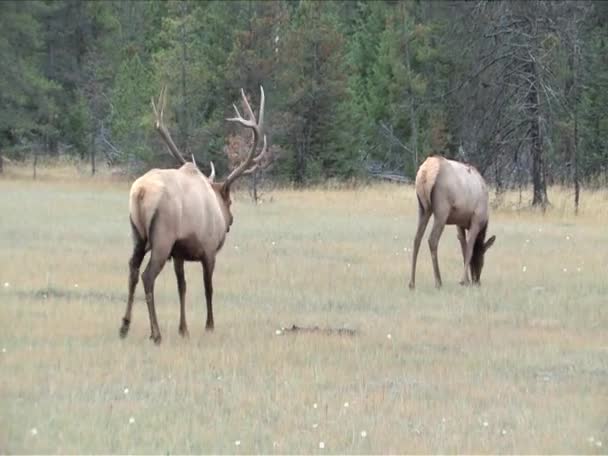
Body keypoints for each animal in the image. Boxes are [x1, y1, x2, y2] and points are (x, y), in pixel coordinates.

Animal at [120, 85, 268, 344]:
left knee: (133, 269)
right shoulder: (208, 250)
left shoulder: (179, 252)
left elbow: (182, 286)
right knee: (148, 276)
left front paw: (184, 328)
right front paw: (209, 325)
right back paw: (155, 333)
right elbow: (208, 288)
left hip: (137, 234)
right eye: (229, 201)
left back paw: (125, 326)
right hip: (162, 238)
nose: (230, 221)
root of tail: (140, 192)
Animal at [406, 156, 496, 288]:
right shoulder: (476, 220)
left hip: (423, 208)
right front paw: (463, 281)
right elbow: (469, 250)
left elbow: (463, 249)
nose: (477, 281)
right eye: (482, 260)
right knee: (432, 239)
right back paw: (438, 282)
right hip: (442, 211)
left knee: (417, 239)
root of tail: (425, 172)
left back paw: (412, 283)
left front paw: (466, 280)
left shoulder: (460, 224)